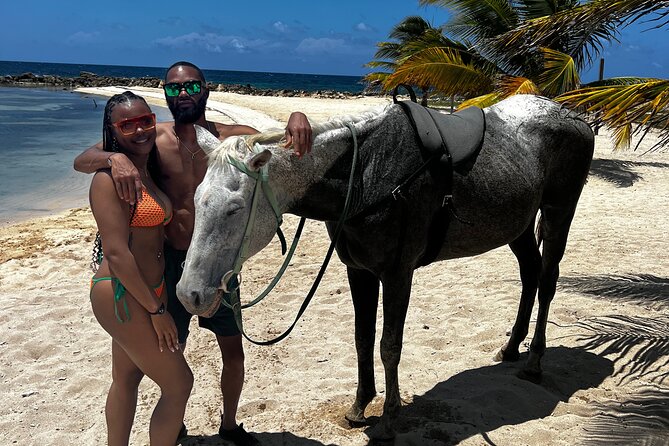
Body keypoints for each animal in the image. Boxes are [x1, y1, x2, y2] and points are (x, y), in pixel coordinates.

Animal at [177, 94, 595, 438]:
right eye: (196, 198)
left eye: (234, 209)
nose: (188, 293)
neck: (365, 174)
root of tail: (574, 116)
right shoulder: (359, 271)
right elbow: (363, 338)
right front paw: (360, 407)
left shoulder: (397, 274)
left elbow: (389, 344)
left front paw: (391, 418)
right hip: (518, 226)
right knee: (529, 274)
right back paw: (510, 348)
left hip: (558, 214)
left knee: (548, 279)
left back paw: (535, 361)